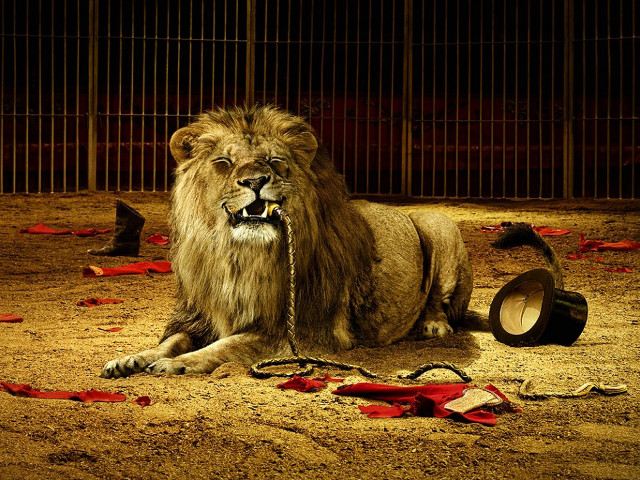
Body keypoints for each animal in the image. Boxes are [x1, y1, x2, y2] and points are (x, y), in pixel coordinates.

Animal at [100, 105, 473, 378]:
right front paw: (132, 358)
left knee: (439, 300)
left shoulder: (303, 332)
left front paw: (179, 363)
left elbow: (229, 346)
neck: (239, 258)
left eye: (275, 161)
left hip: (438, 224)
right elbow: (172, 340)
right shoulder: (200, 315)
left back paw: (433, 325)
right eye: (223, 162)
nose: (255, 180)